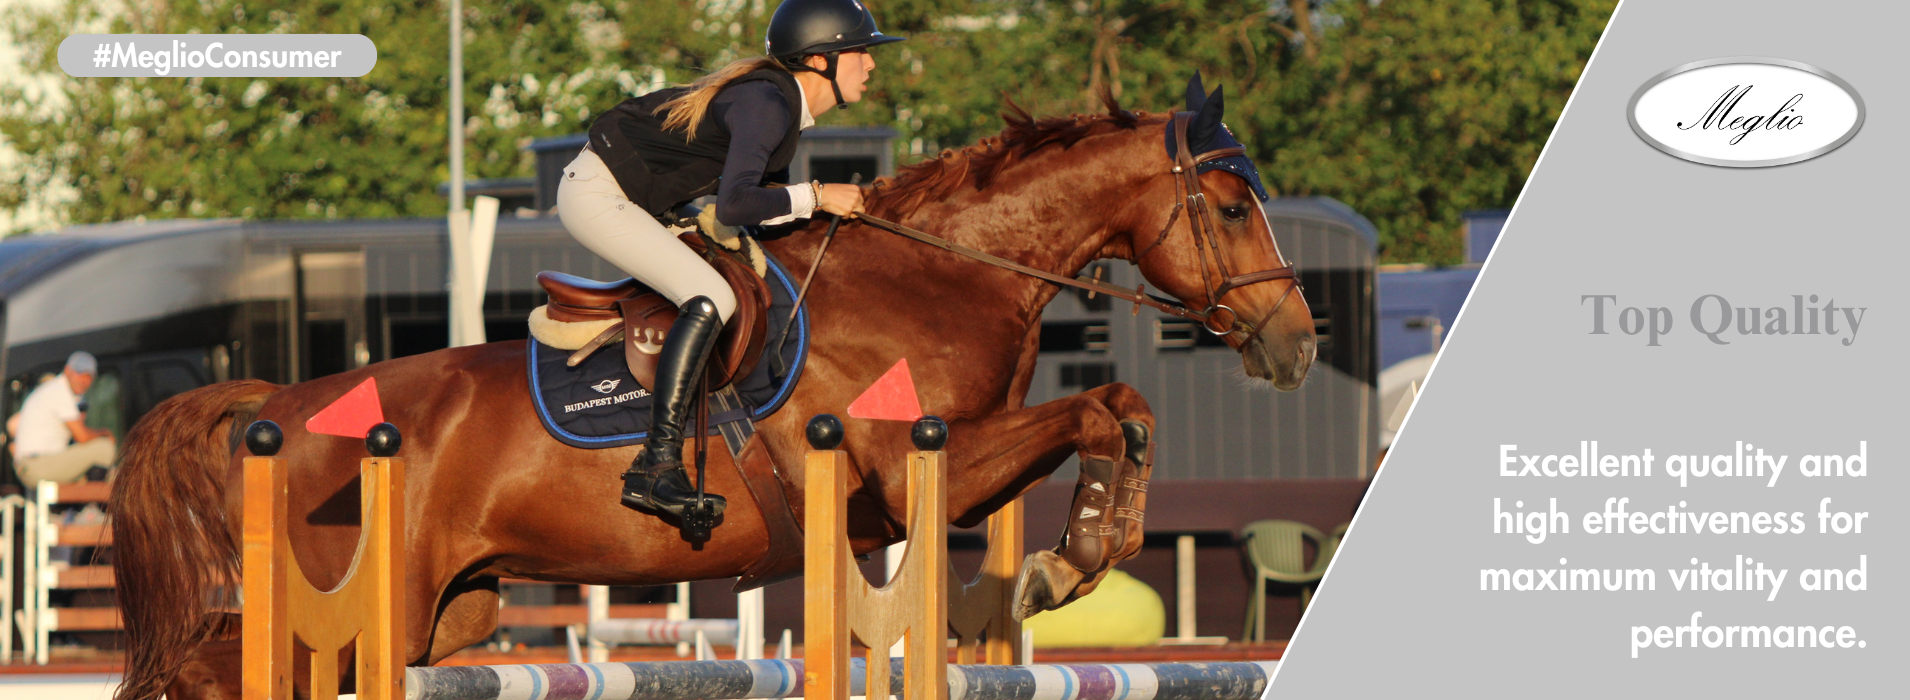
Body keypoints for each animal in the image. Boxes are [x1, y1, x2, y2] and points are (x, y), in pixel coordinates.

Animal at [109, 82, 1314, 700]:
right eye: (1228, 205)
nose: (1297, 346)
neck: (937, 275)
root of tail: (278, 405)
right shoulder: (919, 468)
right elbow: (1096, 407)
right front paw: (1071, 558)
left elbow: (1121, 411)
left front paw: (1079, 553)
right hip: (360, 603)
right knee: (215, 668)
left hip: (447, 615)